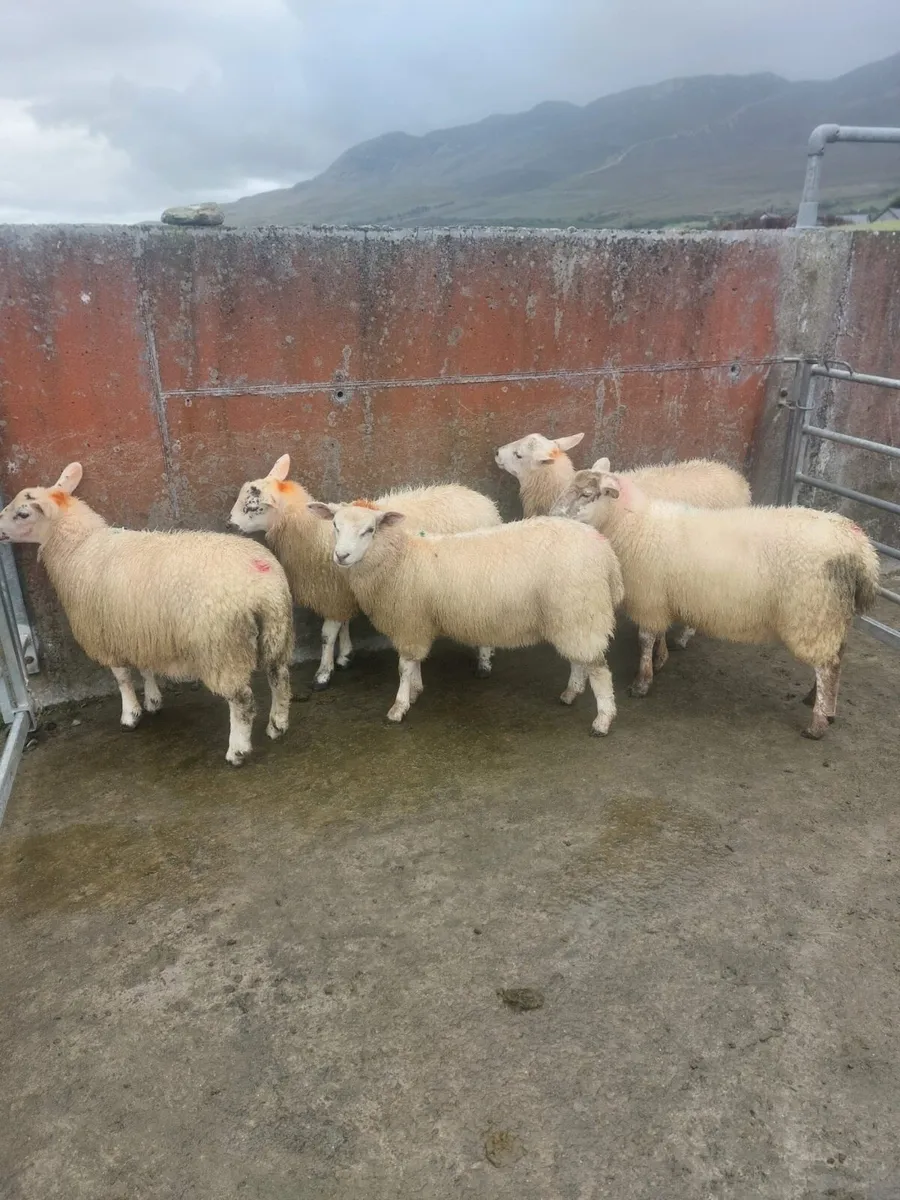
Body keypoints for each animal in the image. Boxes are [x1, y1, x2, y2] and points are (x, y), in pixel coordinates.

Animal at [0, 463, 295, 766]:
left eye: (22, 513)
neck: (79, 545)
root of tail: (262, 585)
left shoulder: (106, 634)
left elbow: (122, 678)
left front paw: (130, 715)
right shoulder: (140, 631)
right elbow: (146, 668)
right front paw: (153, 701)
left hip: (222, 650)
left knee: (242, 700)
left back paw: (237, 750)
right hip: (276, 632)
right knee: (280, 677)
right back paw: (278, 724)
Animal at [228, 454, 503, 688]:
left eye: (253, 507)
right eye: (335, 525)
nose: (230, 524)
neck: (311, 532)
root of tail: (486, 503)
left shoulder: (333, 592)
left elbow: (327, 634)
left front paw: (323, 674)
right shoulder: (344, 590)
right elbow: (345, 624)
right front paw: (345, 656)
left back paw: (484, 663)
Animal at [308, 500, 625, 736]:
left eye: (369, 530)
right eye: (335, 525)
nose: (341, 556)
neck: (400, 560)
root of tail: (606, 553)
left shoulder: (410, 621)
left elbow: (404, 667)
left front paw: (399, 707)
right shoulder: (418, 620)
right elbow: (415, 663)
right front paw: (416, 691)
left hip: (580, 609)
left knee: (599, 669)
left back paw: (603, 720)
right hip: (572, 615)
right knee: (581, 660)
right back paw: (571, 692)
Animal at [550, 465, 880, 739]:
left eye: (586, 494)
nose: (552, 516)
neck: (632, 522)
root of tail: (860, 549)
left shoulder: (649, 598)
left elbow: (645, 639)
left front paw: (642, 682)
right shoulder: (661, 598)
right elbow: (657, 635)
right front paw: (660, 659)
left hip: (812, 613)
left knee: (827, 665)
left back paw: (818, 723)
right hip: (832, 613)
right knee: (837, 656)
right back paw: (819, 702)